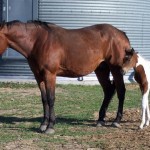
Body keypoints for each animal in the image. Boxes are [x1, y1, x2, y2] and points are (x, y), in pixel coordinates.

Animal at [0, 20, 132, 134]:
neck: (38, 41)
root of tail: (121, 34)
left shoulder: (50, 74)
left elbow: (51, 98)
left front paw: (50, 126)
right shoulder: (38, 76)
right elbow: (44, 99)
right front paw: (43, 124)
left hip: (116, 69)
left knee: (121, 91)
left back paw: (116, 121)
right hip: (101, 69)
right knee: (109, 91)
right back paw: (100, 120)